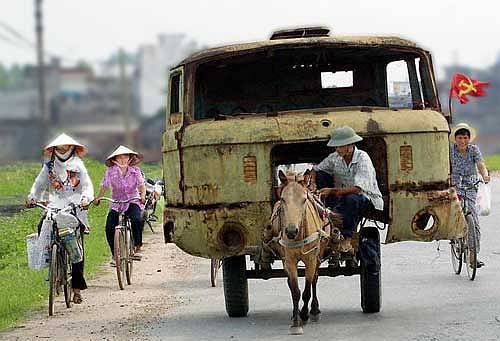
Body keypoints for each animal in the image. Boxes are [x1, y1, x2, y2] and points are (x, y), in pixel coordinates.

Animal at [270, 169, 344, 334]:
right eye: (283, 199)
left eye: (304, 200)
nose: (291, 231)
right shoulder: (289, 261)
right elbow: (295, 291)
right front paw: (296, 321)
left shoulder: (311, 259)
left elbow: (307, 290)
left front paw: (304, 314)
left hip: (319, 254)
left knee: (315, 280)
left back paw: (314, 310)